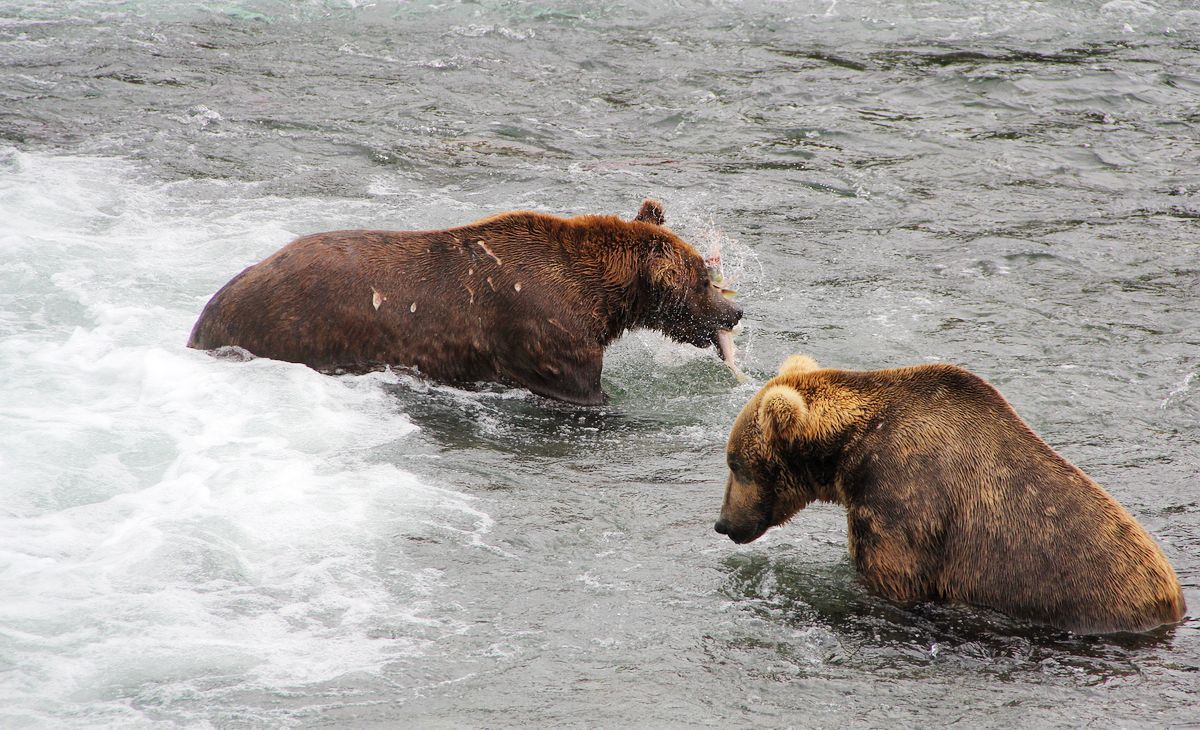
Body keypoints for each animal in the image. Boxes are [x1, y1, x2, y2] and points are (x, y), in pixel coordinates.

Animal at [187, 199, 739, 405]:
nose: (736, 312)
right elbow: (584, 391)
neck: (600, 297)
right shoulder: (548, 337)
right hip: (293, 323)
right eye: (703, 278)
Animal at [715, 352, 1185, 633]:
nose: (722, 523)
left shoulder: (904, 500)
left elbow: (894, 578)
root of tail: (1174, 604)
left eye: (734, 462)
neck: (851, 449)